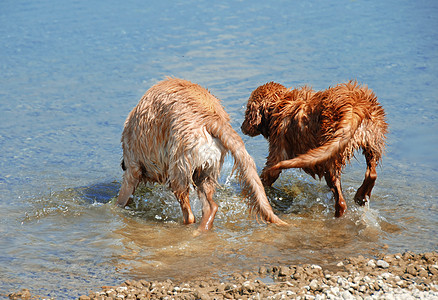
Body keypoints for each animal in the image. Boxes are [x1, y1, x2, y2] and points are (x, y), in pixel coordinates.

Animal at [118, 78, 286, 231]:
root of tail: (211, 118)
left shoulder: (132, 168)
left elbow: (122, 198)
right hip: (206, 170)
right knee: (211, 207)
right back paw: (201, 229)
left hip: (180, 167)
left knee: (190, 214)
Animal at [241, 80, 388, 216]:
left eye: (247, 110)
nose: (242, 127)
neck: (279, 104)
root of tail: (354, 107)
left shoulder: (277, 148)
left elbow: (268, 173)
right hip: (372, 139)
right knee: (371, 173)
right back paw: (360, 197)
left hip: (330, 156)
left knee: (341, 201)